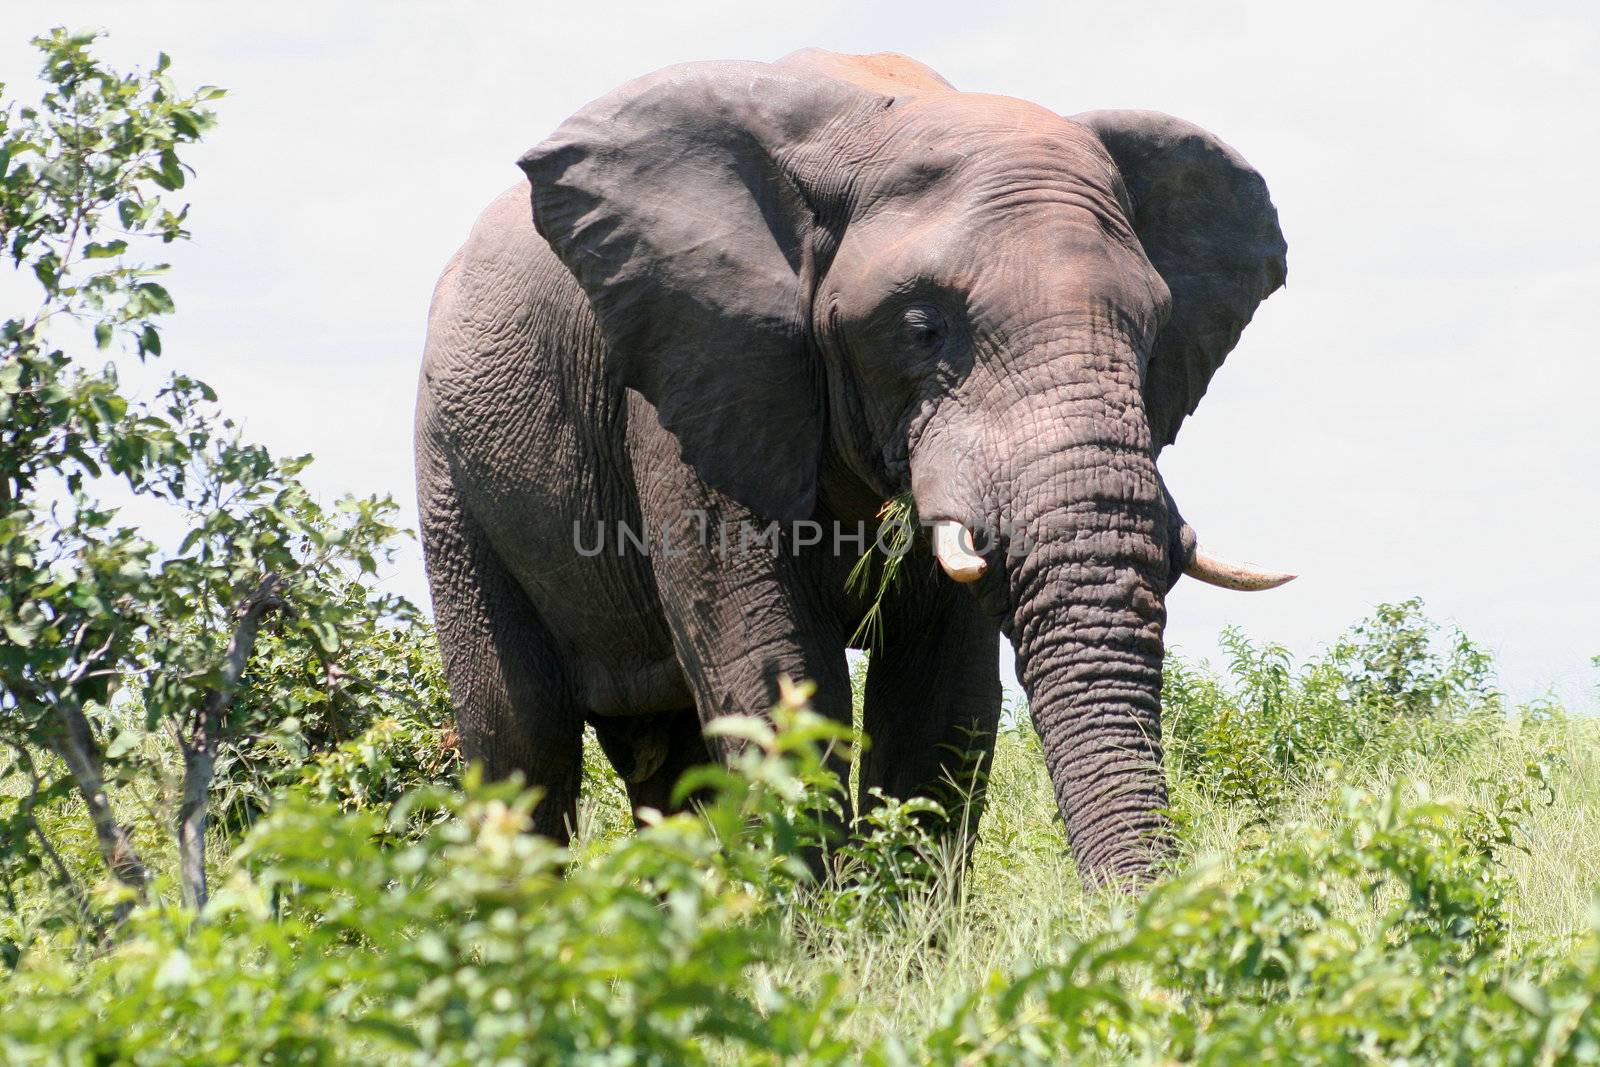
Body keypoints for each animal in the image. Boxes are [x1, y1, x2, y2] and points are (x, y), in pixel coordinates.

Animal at [412, 47, 1286, 883]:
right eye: (922, 329)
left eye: (1154, 332)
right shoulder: (699, 372)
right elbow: (773, 673)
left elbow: (940, 699)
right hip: (450, 468)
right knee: (522, 742)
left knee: (667, 759)